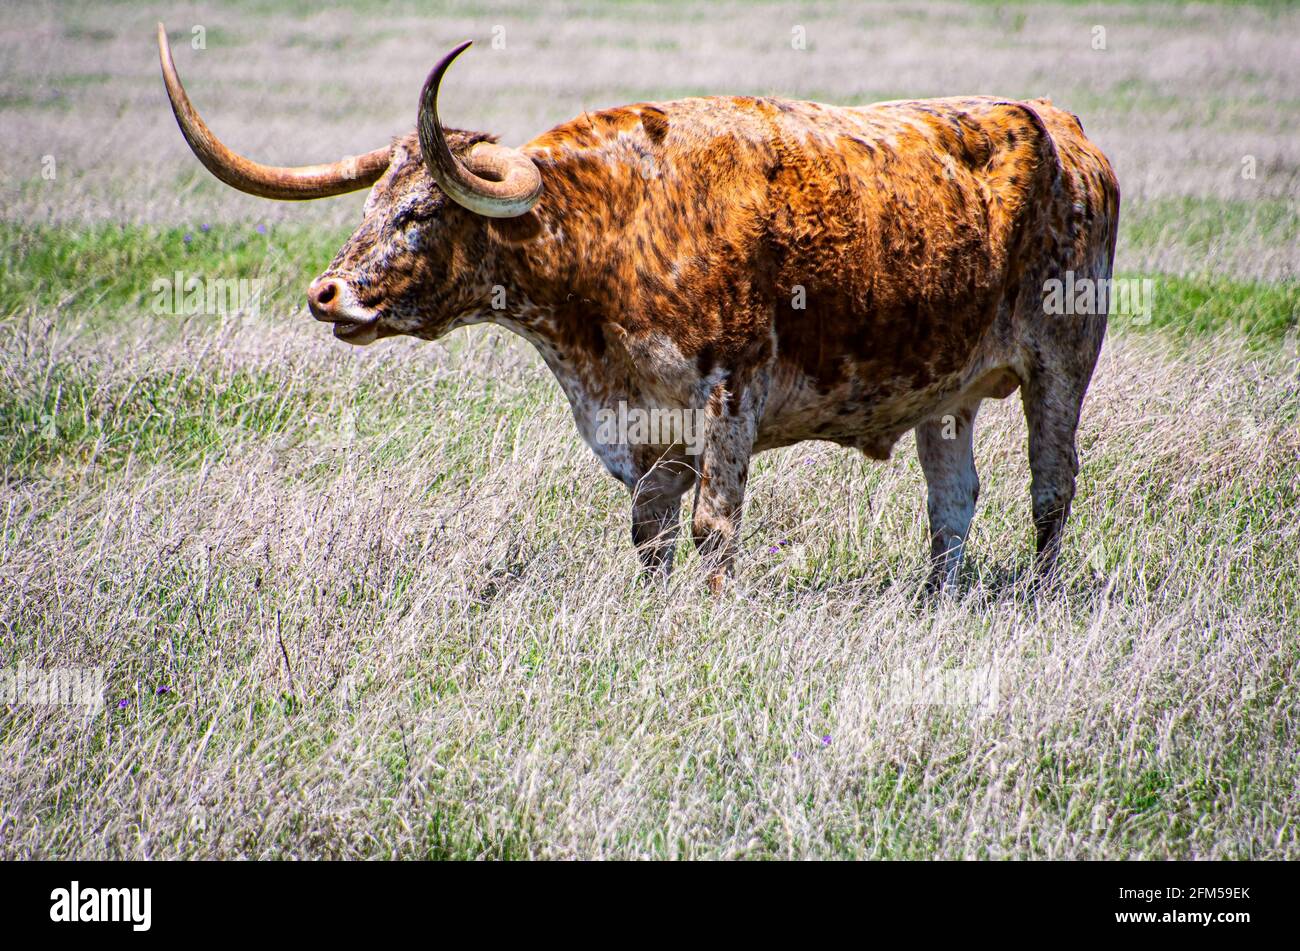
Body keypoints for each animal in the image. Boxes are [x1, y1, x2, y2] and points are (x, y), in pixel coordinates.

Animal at [157, 25, 1120, 593]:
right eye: (370, 204)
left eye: (422, 211)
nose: (325, 293)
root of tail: (1065, 130)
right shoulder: (644, 426)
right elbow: (649, 531)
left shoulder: (731, 400)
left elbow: (711, 528)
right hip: (943, 394)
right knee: (952, 501)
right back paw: (937, 597)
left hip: (1062, 363)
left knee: (1051, 486)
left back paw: (1040, 593)